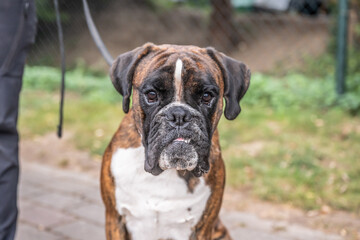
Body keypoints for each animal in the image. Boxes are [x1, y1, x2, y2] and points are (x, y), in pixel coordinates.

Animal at [100, 43, 249, 240]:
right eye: (152, 95)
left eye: (207, 96)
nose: (179, 115)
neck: (166, 172)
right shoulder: (114, 219)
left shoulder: (202, 229)